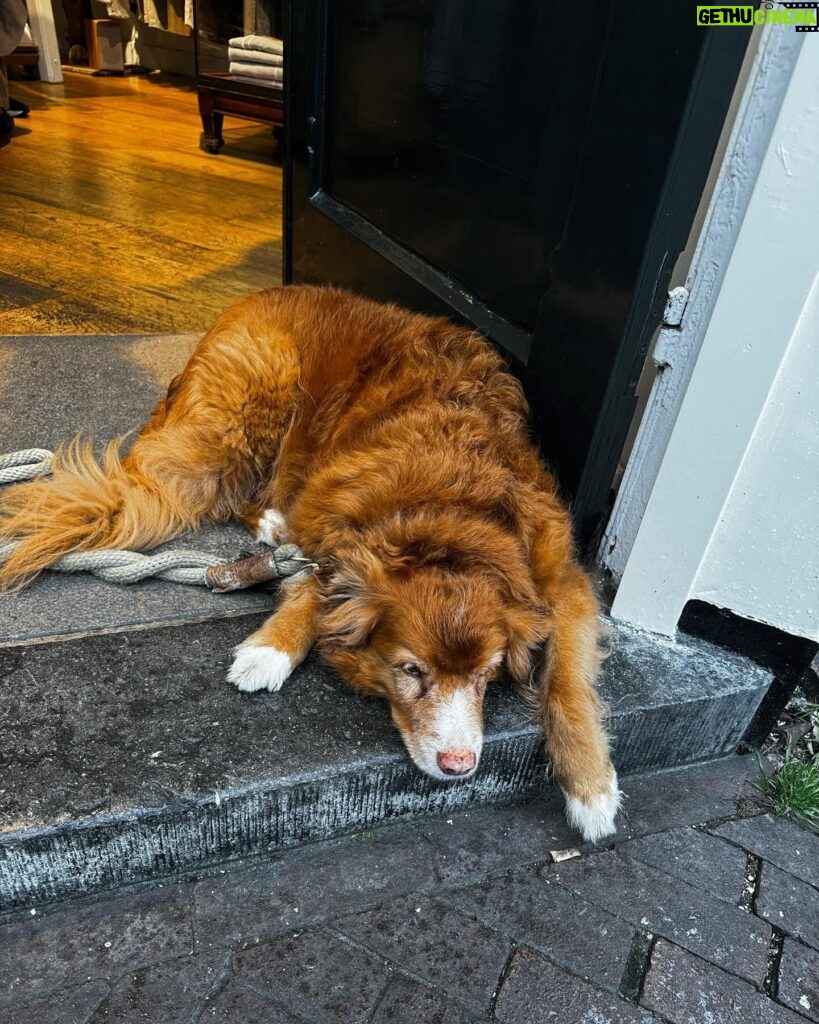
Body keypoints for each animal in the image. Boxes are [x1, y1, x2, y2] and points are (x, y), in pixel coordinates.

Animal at [0, 286, 622, 839]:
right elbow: (318, 581)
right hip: (246, 410)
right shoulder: (334, 517)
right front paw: (271, 649)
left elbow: (568, 682)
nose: (459, 767)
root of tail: (256, 297)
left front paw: (592, 788)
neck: (446, 517)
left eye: (486, 675)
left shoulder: (559, 576)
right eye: (410, 671)